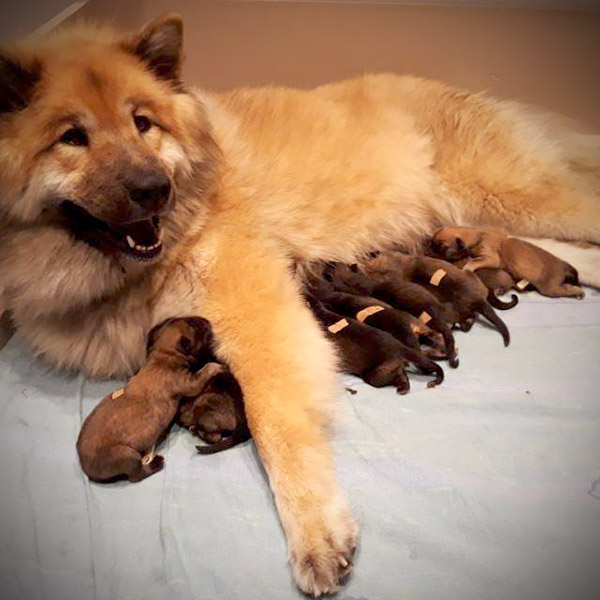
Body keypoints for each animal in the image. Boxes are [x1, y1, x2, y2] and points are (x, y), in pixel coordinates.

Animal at [77, 318, 220, 482]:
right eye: (198, 328)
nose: (207, 321)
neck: (163, 353)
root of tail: (85, 465)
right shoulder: (188, 382)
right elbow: (203, 372)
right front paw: (216, 366)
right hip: (126, 454)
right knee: (136, 475)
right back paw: (155, 464)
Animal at [428, 226, 584, 298]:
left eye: (441, 247)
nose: (429, 247)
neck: (477, 235)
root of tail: (562, 264)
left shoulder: (490, 257)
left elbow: (474, 261)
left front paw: (467, 267)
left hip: (550, 288)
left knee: (566, 289)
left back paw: (579, 292)